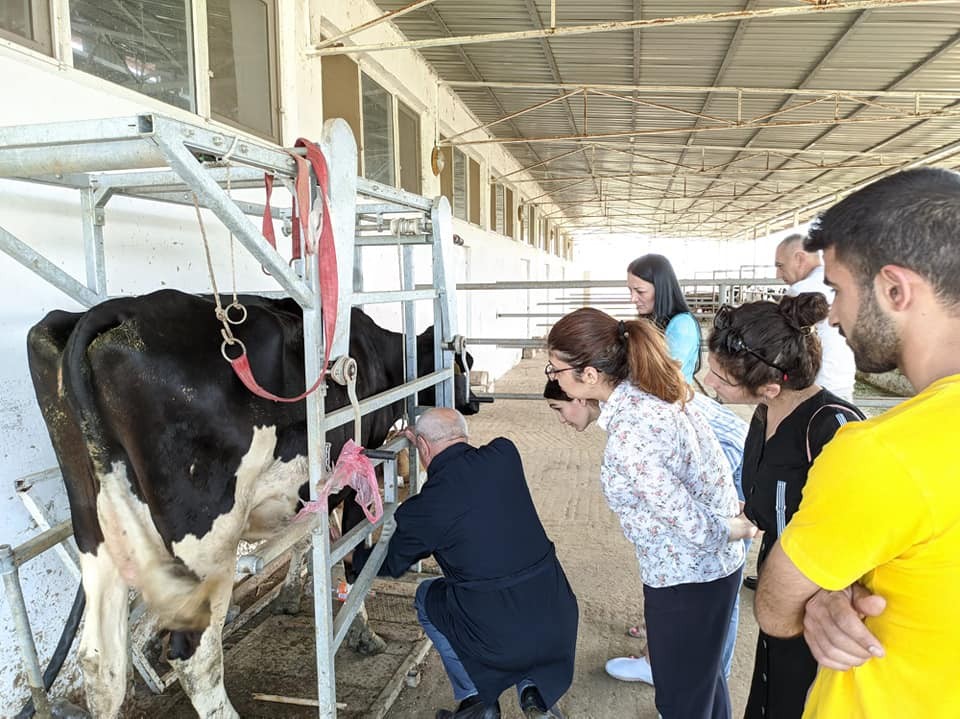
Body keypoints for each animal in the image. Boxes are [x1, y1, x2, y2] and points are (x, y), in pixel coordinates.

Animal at [28, 288, 478, 719]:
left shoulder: (309, 491)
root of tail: (116, 312)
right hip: (207, 543)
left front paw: (291, 595)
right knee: (193, 657)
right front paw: (361, 632)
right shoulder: (353, 477)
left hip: (97, 535)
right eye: (462, 366)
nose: (472, 404)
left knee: (98, 662)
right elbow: (349, 557)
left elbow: (314, 543)